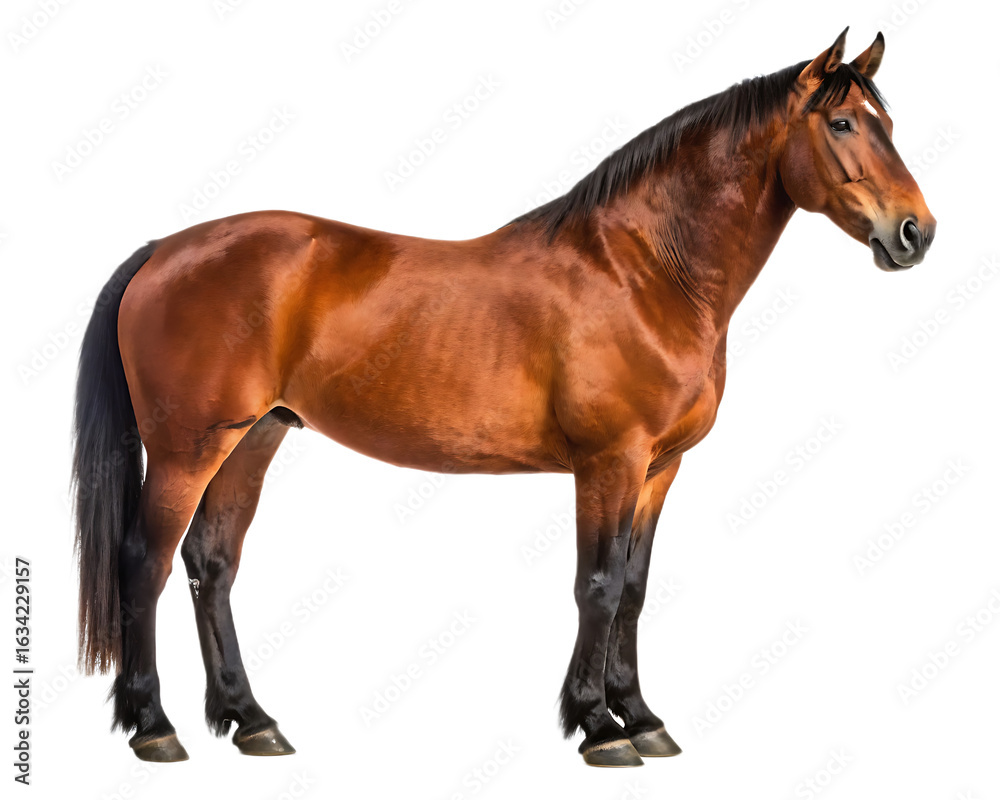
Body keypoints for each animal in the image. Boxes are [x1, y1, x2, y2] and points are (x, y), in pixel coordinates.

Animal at [72, 27, 935, 767]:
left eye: (887, 121)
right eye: (846, 123)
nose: (915, 233)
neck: (646, 272)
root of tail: (165, 249)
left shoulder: (660, 470)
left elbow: (634, 589)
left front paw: (641, 717)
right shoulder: (610, 462)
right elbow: (598, 586)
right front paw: (598, 727)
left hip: (254, 437)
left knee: (211, 564)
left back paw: (251, 720)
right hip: (187, 449)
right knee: (144, 562)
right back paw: (153, 727)